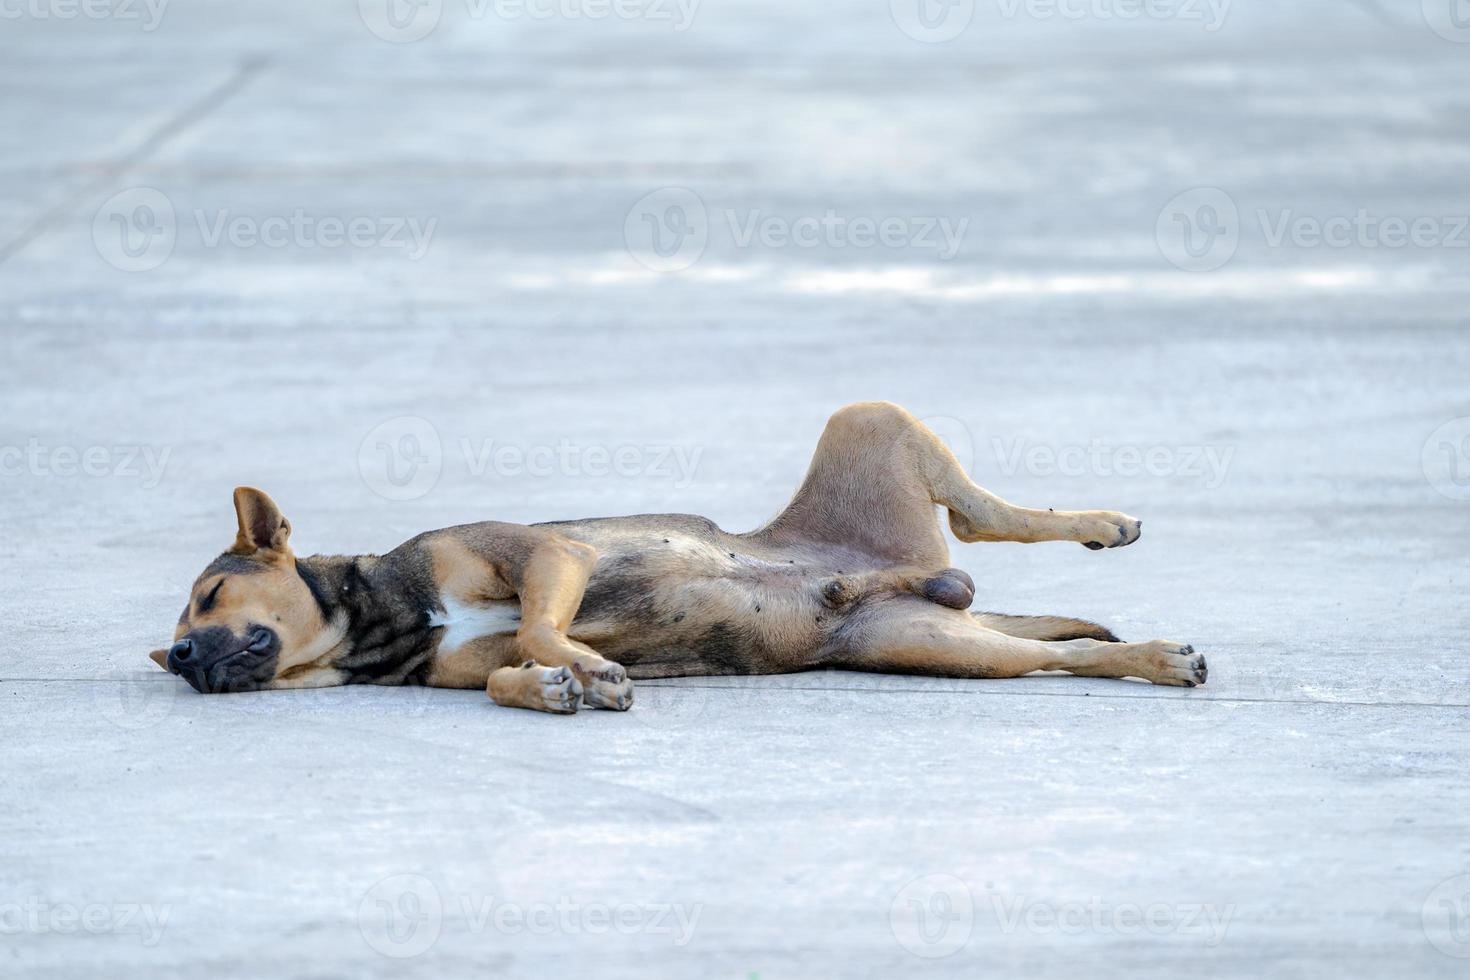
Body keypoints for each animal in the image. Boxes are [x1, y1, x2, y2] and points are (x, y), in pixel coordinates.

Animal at [146, 402, 1205, 717]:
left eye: (210, 594)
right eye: (177, 637)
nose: (184, 658)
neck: (386, 620)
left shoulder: (546, 552)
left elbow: (543, 621)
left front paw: (581, 665)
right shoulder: (467, 661)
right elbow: (507, 673)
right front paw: (556, 688)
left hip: (868, 422)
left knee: (986, 521)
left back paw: (1108, 531)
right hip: (938, 641)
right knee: (1053, 646)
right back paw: (1143, 652)